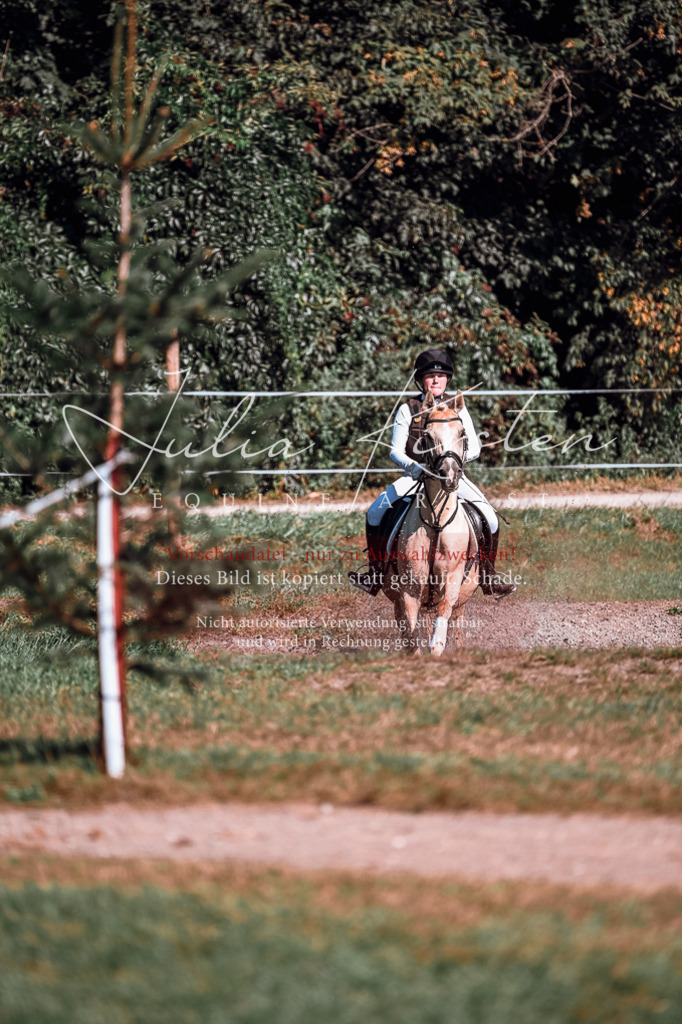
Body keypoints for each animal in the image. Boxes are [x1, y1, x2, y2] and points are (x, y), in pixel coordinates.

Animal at [382, 390, 479, 656]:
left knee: (456, 621)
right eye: (427, 436)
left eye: (462, 433)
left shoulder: (452, 578)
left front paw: (437, 647)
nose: (450, 475)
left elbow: (444, 611)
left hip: (464, 597)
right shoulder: (410, 587)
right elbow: (411, 627)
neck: (437, 520)